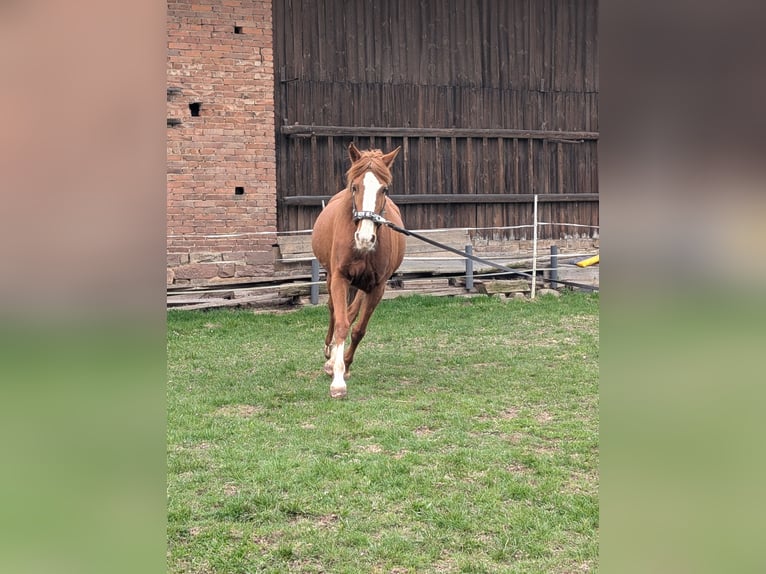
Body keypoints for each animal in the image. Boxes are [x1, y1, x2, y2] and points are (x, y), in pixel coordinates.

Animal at [311, 143, 406, 398]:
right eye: (355, 186)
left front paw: (345, 364)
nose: (365, 238)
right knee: (334, 311)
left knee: (352, 312)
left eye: (385, 189)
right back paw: (328, 354)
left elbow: (359, 329)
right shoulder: (340, 279)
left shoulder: (377, 287)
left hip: (363, 286)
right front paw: (337, 381)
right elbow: (342, 324)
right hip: (331, 278)